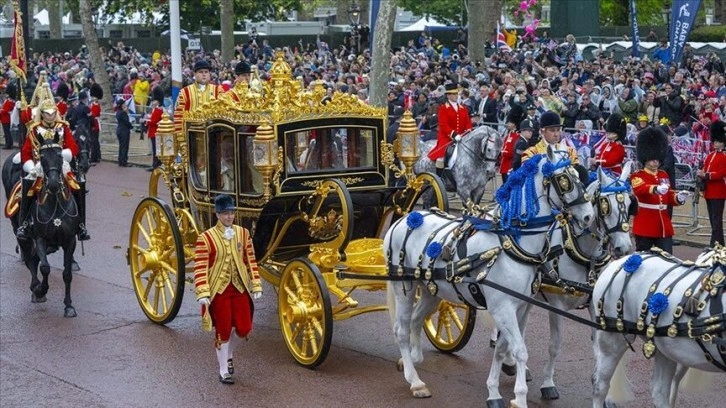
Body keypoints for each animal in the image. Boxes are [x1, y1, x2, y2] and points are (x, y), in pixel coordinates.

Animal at [0, 136, 80, 316]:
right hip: (20, 231)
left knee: (33, 257)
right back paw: (36, 288)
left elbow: (67, 274)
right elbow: (44, 268)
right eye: (42, 158)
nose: (53, 184)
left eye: (60, 155)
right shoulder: (40, 238)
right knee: (30, 259)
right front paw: (41, 290)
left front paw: (69, 305)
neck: (55, 206)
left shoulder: (70, 240)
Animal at [384, 148, 596, 406]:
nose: (588, 217)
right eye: (565, 180)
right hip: (403, 287)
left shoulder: (520, 306)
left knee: (416, 320)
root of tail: (404, 219)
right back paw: (415, 381)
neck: (511, 242)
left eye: (579, 175)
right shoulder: (502, 306)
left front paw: (495, 392)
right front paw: (519, 397)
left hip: (431, 290)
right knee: (401, 330)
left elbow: (503, 348)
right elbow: (520, 350)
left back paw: (413, 360)